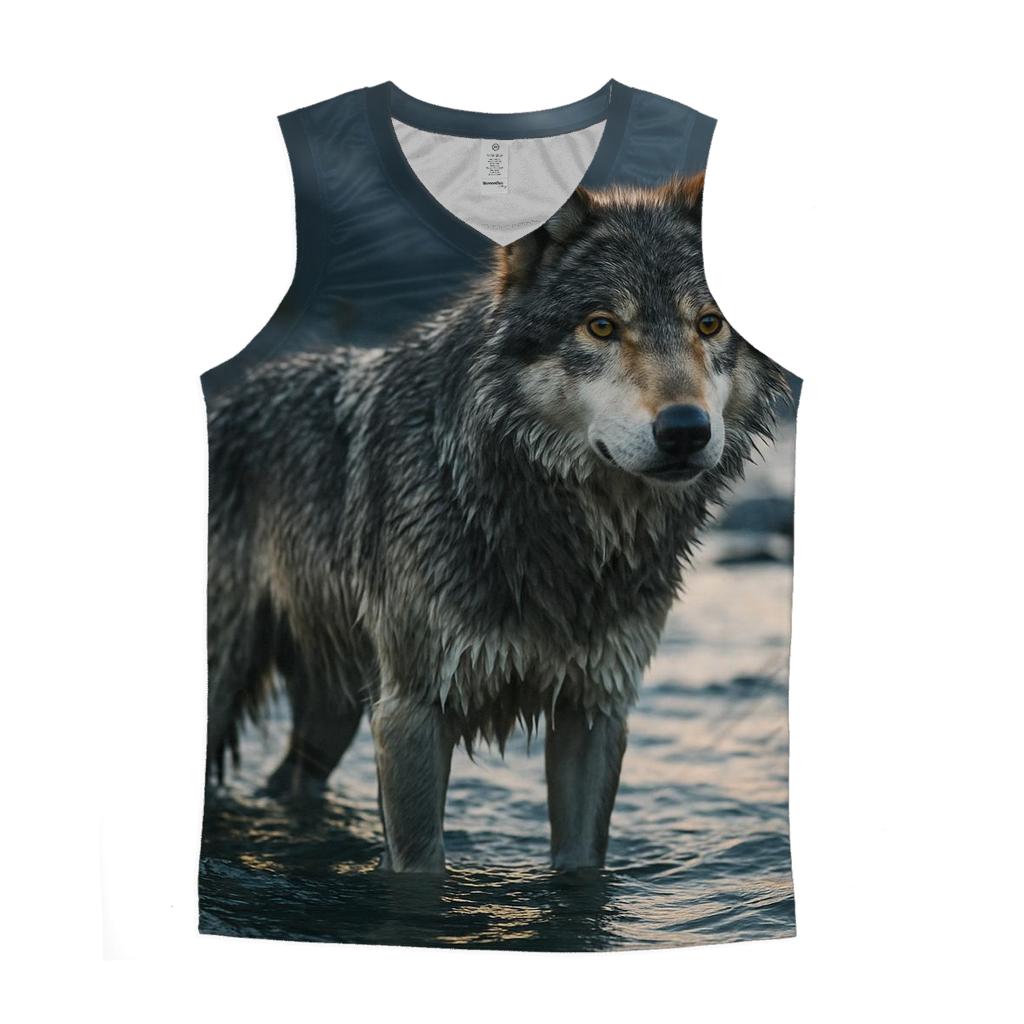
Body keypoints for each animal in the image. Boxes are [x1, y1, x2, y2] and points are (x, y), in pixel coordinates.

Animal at [206, 172, 787, 873]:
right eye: (601, 326)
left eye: (709, 323)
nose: (685, 430)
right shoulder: (412, 711)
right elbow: (420, 871)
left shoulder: (595, 711)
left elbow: (582, 867)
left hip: (334, 708)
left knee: (289, 779)